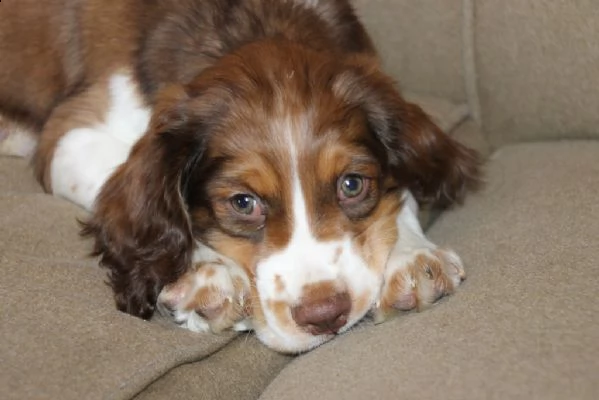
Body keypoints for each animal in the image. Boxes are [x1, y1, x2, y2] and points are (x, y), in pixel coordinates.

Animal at [0, 0, 478, 352]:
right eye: (243, 203)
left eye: (352, 185)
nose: (325, 316)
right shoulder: (69, 135)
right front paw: (206, 273)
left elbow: (404, 192)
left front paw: (413, 257)